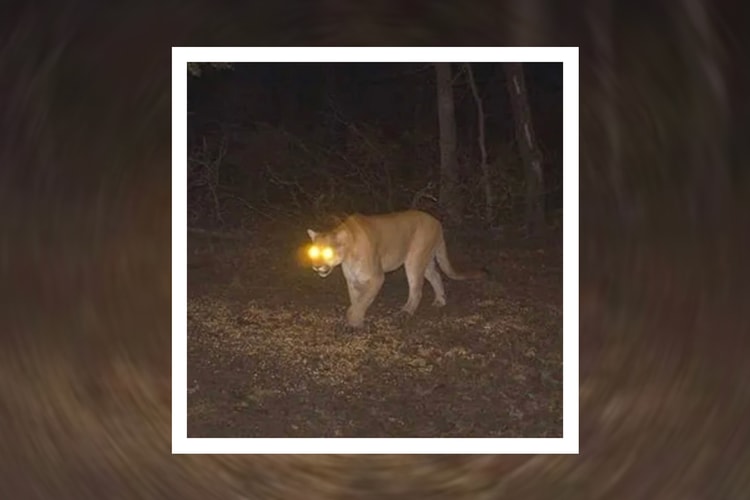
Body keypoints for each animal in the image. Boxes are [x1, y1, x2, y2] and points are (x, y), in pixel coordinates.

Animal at [306, 210, 487, 328]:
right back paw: (440, 301)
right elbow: (357, 300)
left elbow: (362, 301)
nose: (316, 266)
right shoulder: (352, 279)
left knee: (417, 289)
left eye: (327, 252)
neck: (349, 255)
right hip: (426, 261)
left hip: (414, 260)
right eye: (314, 252)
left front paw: (354, 320)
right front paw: (356, 319)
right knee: (435, 275)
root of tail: (436, 222)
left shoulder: (377, 277)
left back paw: (406, 312)